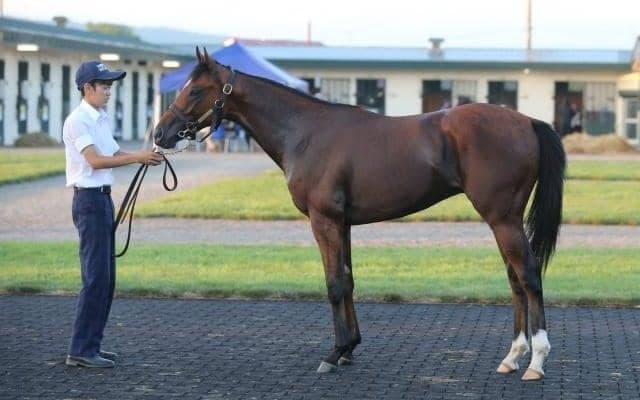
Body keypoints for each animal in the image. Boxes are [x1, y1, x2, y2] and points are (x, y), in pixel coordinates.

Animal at [154, 48, 566, 381]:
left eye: (194, 90)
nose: (160, 134)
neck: (306, 132)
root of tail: (527, 121)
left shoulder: (323, 220)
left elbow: (334, 284)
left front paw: (334, 353)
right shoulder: (344, 223)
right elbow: (348, 280)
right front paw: (349, 348)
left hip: (503, 219)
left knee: (528, 276)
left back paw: (536, 361)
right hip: (503, 221)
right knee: (515, 279)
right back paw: (512, 357)